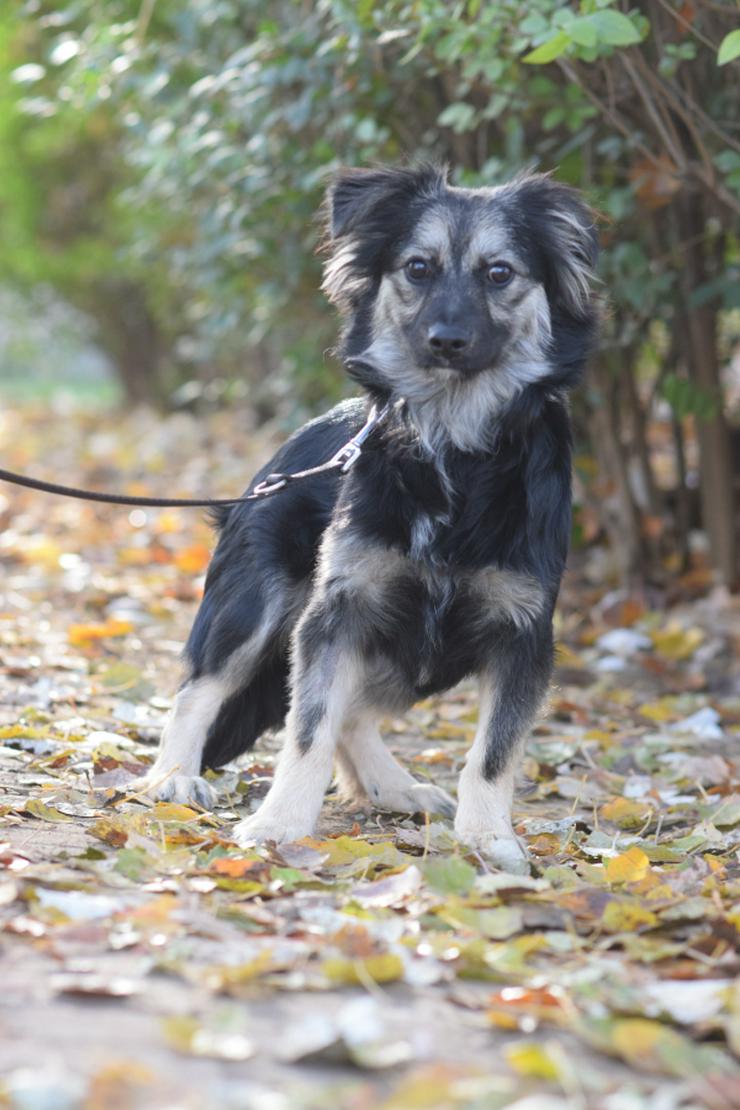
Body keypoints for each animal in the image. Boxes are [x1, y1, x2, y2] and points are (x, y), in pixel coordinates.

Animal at [131, 164, 594, 870]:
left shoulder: (522, 629)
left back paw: (393, 785)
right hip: (258, 603)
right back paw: (174, 776)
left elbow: (491, 753)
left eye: (500, 273)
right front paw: (281, 823)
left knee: (354, 713)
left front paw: (489, 840)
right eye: (418, 267)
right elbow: (308, 728)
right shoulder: (337, 609)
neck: (453, 448)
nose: (446, 340)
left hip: (416, 655)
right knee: (200, 687)